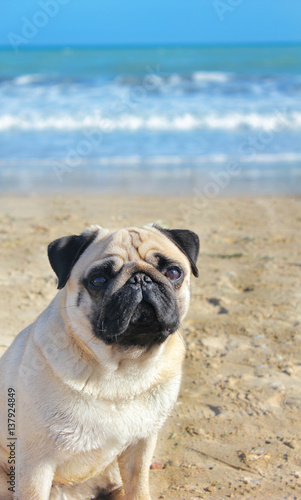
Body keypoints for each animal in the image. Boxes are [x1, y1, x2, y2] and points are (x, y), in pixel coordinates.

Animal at [0, 225, 198, 498]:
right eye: (99, 280)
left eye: (173, 272)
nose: (140, 279)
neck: (124, 369)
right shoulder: (35, 464)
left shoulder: (142, 444)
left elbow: (138, 485)